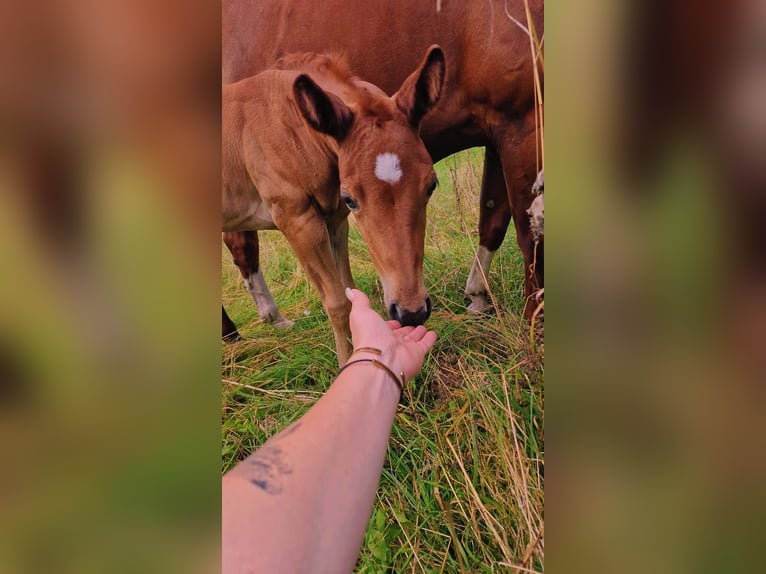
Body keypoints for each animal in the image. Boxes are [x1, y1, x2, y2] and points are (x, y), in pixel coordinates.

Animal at [222, 0, 544, 324]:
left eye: (432, 186)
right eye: (350, 199)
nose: (412, 312)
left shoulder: (499, 133)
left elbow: (493, 218)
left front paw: (478, 297)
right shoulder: (525, 122)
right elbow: (529, 232)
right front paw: (535, 316)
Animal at [224, 50, 444, 364]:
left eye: (431, 185)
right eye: (351, 198)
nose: (411, 312)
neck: (294, 130)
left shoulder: (335, 221)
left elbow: (350, 291)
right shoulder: (297, 220)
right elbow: (337, 302)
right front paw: (345, 363)